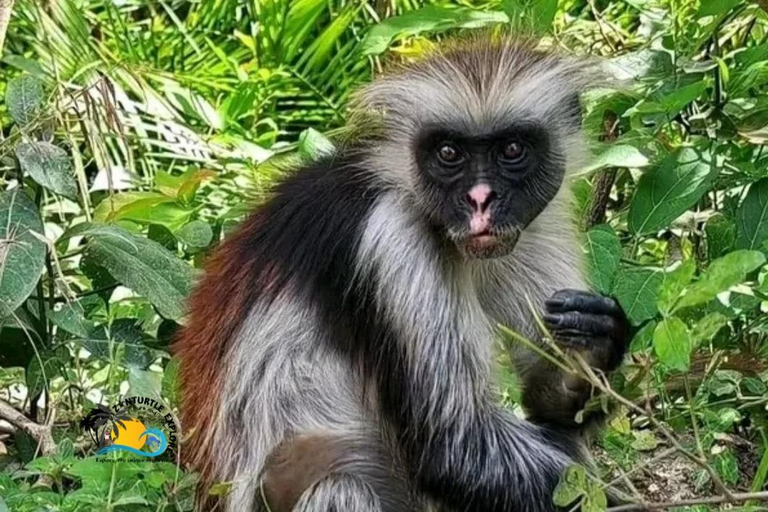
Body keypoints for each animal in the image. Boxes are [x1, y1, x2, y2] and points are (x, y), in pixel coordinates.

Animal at [176, 37, 632, 512]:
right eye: (449, 153)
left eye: (511, 150)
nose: (481, 200)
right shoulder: (389, 232)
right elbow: (455, 450)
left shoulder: (531, 226)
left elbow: (548, 405)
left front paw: (598, 340)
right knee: (341, 484)